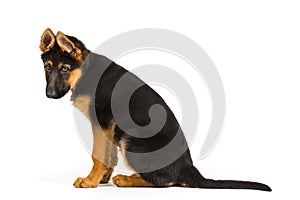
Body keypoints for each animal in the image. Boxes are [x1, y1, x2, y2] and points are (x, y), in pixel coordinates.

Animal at [39, 27, 272, 191]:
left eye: (65, 69)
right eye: (47, 68)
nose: (50, 95)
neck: (84, 72)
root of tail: (188, 168)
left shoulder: (101, 121)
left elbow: (98, 155)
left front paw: (90, 181)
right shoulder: (108, 126)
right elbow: (108, 154)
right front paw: (102, 177)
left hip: (131, 141)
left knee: (164, 181)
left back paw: (126, 179)